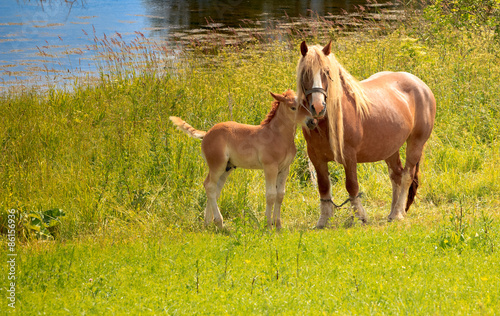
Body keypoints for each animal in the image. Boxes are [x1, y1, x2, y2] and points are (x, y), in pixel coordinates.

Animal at [169, 89, 308, 230]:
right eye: (293, 107)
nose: (311, 121)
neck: (277, 136)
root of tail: (207, 133)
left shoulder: (285, 168)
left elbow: (280, 195)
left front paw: (278, 225)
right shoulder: (270, 167)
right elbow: (271, 195)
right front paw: (268, 225)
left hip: (227, 168)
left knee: (215, 190)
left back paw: (207, 223)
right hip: (217, 165)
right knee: (209, 186)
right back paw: (219, 222)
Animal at [298, 41, 436, 227]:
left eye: (326, 72)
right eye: (305, 73)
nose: (318, 107)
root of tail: (421, 85)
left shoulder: (349, 156)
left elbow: (352, 186)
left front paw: (360, 216)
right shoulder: (316, 157)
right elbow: (324, 187)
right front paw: (324, 220)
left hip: (416, 143)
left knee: (407, 175)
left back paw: (398, 213)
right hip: (391, 148)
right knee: (396, 175)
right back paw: (392, 213)